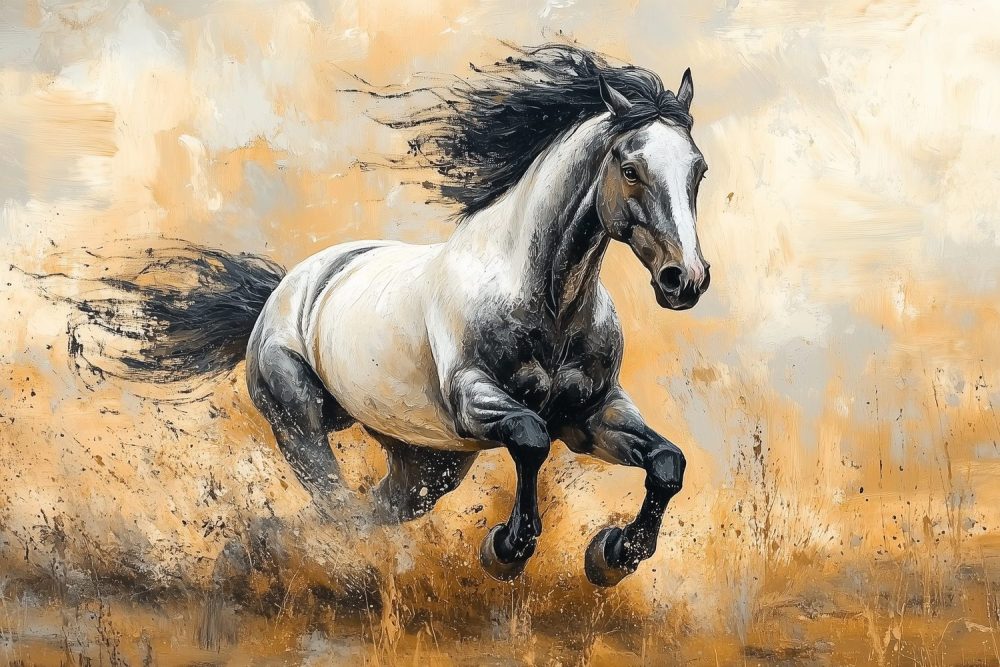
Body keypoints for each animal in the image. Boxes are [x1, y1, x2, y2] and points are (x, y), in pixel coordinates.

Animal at [58, 45, 711, 587]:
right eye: (631, 169)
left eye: (698, 170)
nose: (685, 280)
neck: (547, 304)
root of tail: (287, 287)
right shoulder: (475, 400)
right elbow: (530, 438)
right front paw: (506, 549)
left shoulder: (592, 413)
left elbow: (668, 463)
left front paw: (614, 555)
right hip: (299, 419)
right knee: (337, 505)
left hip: (426, 464)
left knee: (366, 509)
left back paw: (261, 552)